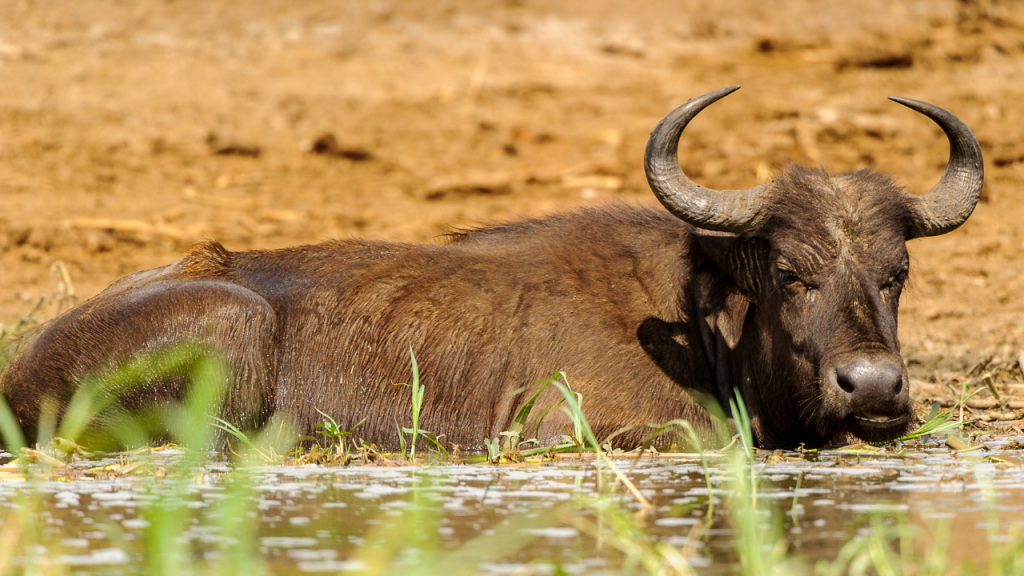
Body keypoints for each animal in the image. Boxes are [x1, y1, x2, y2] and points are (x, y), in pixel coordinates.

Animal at [4, 86, 987, 448]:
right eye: (789, 272)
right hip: (229, 319)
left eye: (897, 272)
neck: (699, 320)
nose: (873, 386)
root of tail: (23, 371)